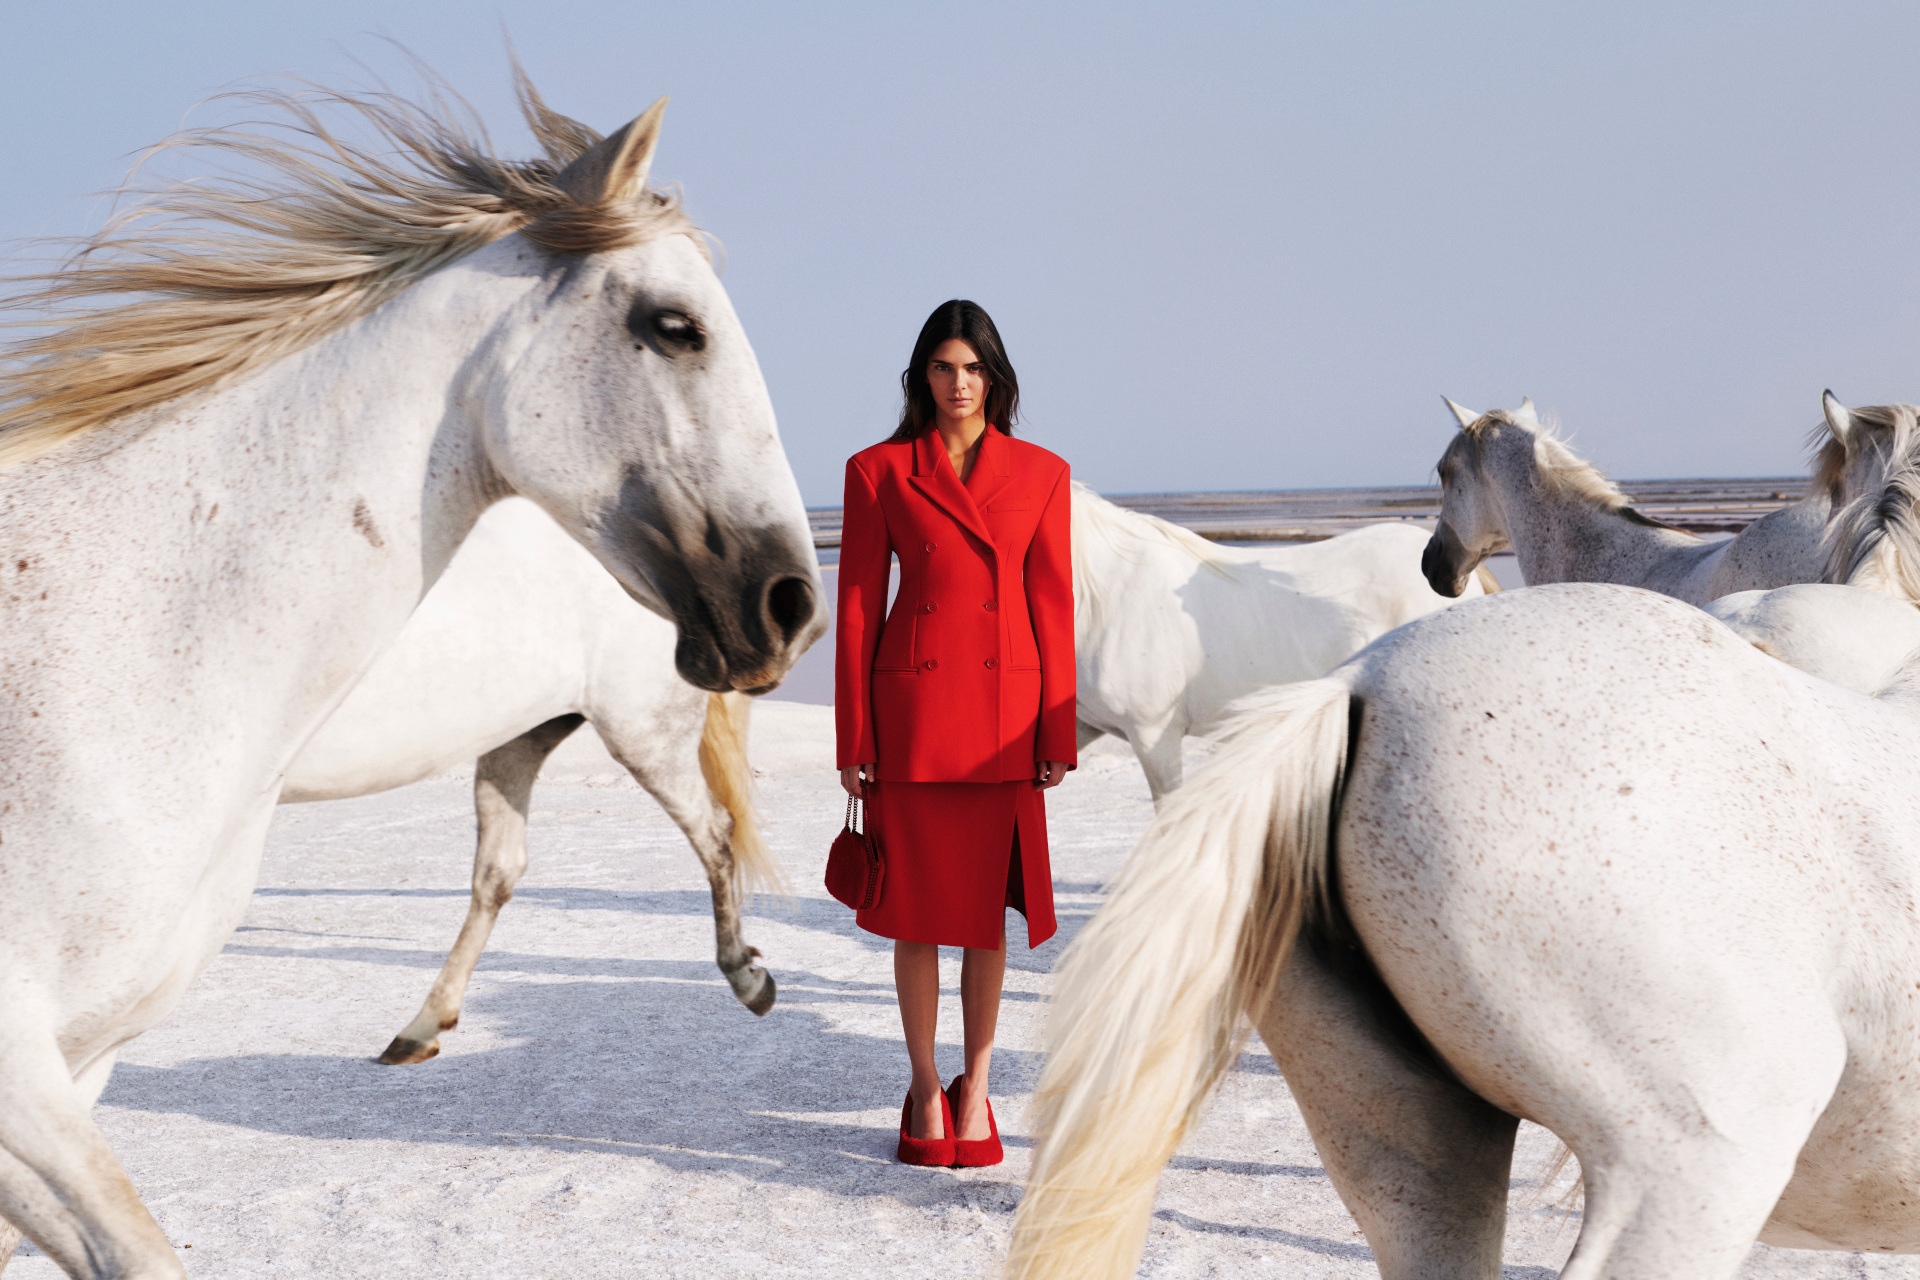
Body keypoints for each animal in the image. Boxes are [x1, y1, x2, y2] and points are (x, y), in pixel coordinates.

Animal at [276, 495, 779, 1066]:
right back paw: (422, 1026)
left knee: (716, 831)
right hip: (520, 735)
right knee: (499, 870)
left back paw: (747, 978)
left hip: (643, 732)